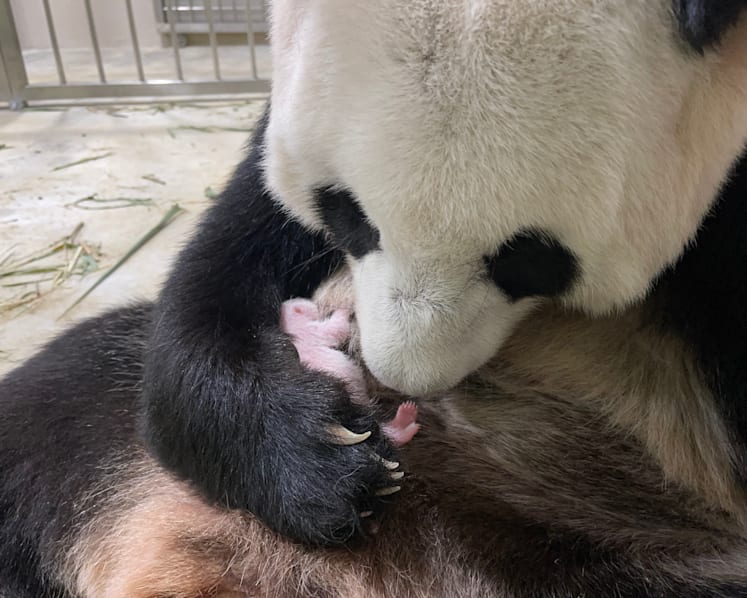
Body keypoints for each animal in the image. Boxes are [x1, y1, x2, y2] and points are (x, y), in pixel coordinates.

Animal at [0, 0, 745, 595]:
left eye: (528, 260)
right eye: (346, 213)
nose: (393, 377)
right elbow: (225, 267)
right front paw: (319, 465)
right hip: (95, 445)